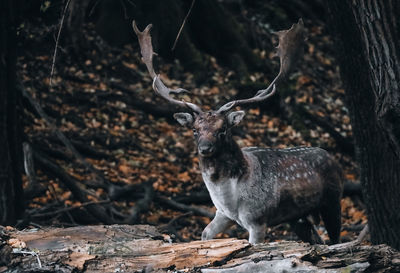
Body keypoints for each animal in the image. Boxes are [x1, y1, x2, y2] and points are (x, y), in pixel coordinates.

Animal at [133, 19, 342, 244]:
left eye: (223, 129)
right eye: (195, 130)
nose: (205, 148)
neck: (230, 199)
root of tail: (332, 158)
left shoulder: (258, 220)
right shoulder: (222, 214)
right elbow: (205, 234)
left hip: (333, 200)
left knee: (335, 238)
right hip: (300, 217)